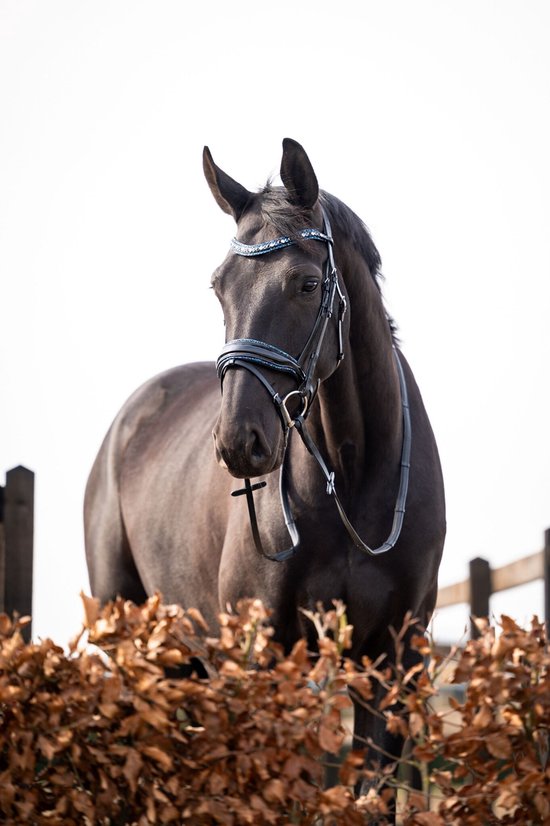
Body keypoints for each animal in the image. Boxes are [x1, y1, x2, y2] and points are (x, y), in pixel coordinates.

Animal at [84, 138, 446, 810]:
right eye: (218, 287)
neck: (353, 483)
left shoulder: (392, 661)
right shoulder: (268, 657)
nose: (239, 441)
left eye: (307, 283)